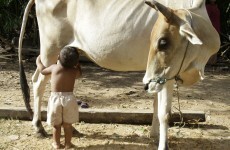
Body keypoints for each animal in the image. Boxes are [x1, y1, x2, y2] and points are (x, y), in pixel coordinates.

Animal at [18, 0, 210, 149]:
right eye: (162, 42)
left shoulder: (157, 73)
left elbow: (156, 104)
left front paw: (154, 136)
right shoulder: (167, 70)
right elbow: (165, 112)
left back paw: (70, 129)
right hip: (50, 49)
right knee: (38, 82)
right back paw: (39, 127)